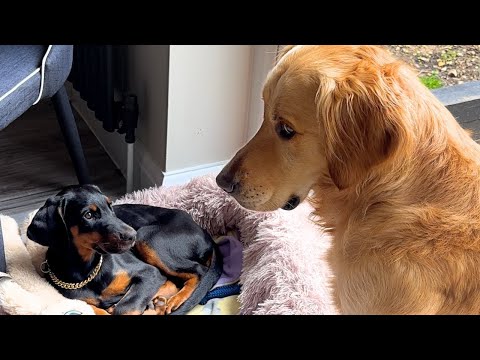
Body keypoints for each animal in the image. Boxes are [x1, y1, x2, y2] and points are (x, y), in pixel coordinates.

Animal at [26, 186, 221, 316]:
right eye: (88, 215)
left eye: (110, 206)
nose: (131, 235)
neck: (87, 269)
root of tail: (203, 230)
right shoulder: (77, 300)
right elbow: (97, 310)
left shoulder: (149, 272)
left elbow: (126, 307)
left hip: (148, 237)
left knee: (198, 271)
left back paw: (174, 300)